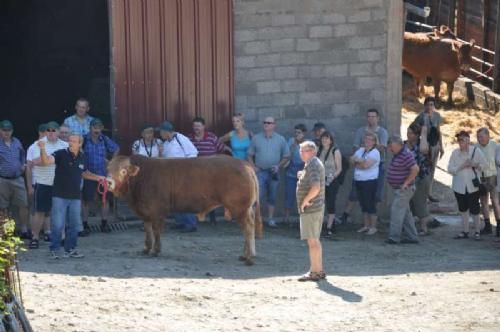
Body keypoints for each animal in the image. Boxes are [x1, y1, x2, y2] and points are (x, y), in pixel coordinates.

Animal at [105, 154, 262, 266]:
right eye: (108, 169)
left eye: (123, 171)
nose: (108, 182)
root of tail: (245, 165)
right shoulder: (145, 212)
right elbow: (148, 230)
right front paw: (146, 249)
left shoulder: (156, 210)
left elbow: (156, 231)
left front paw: (156, 250)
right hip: (245, 209)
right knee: (248, 228)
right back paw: (245, 255)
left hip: (240, 208)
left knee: (248, 228)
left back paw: (249, 258)